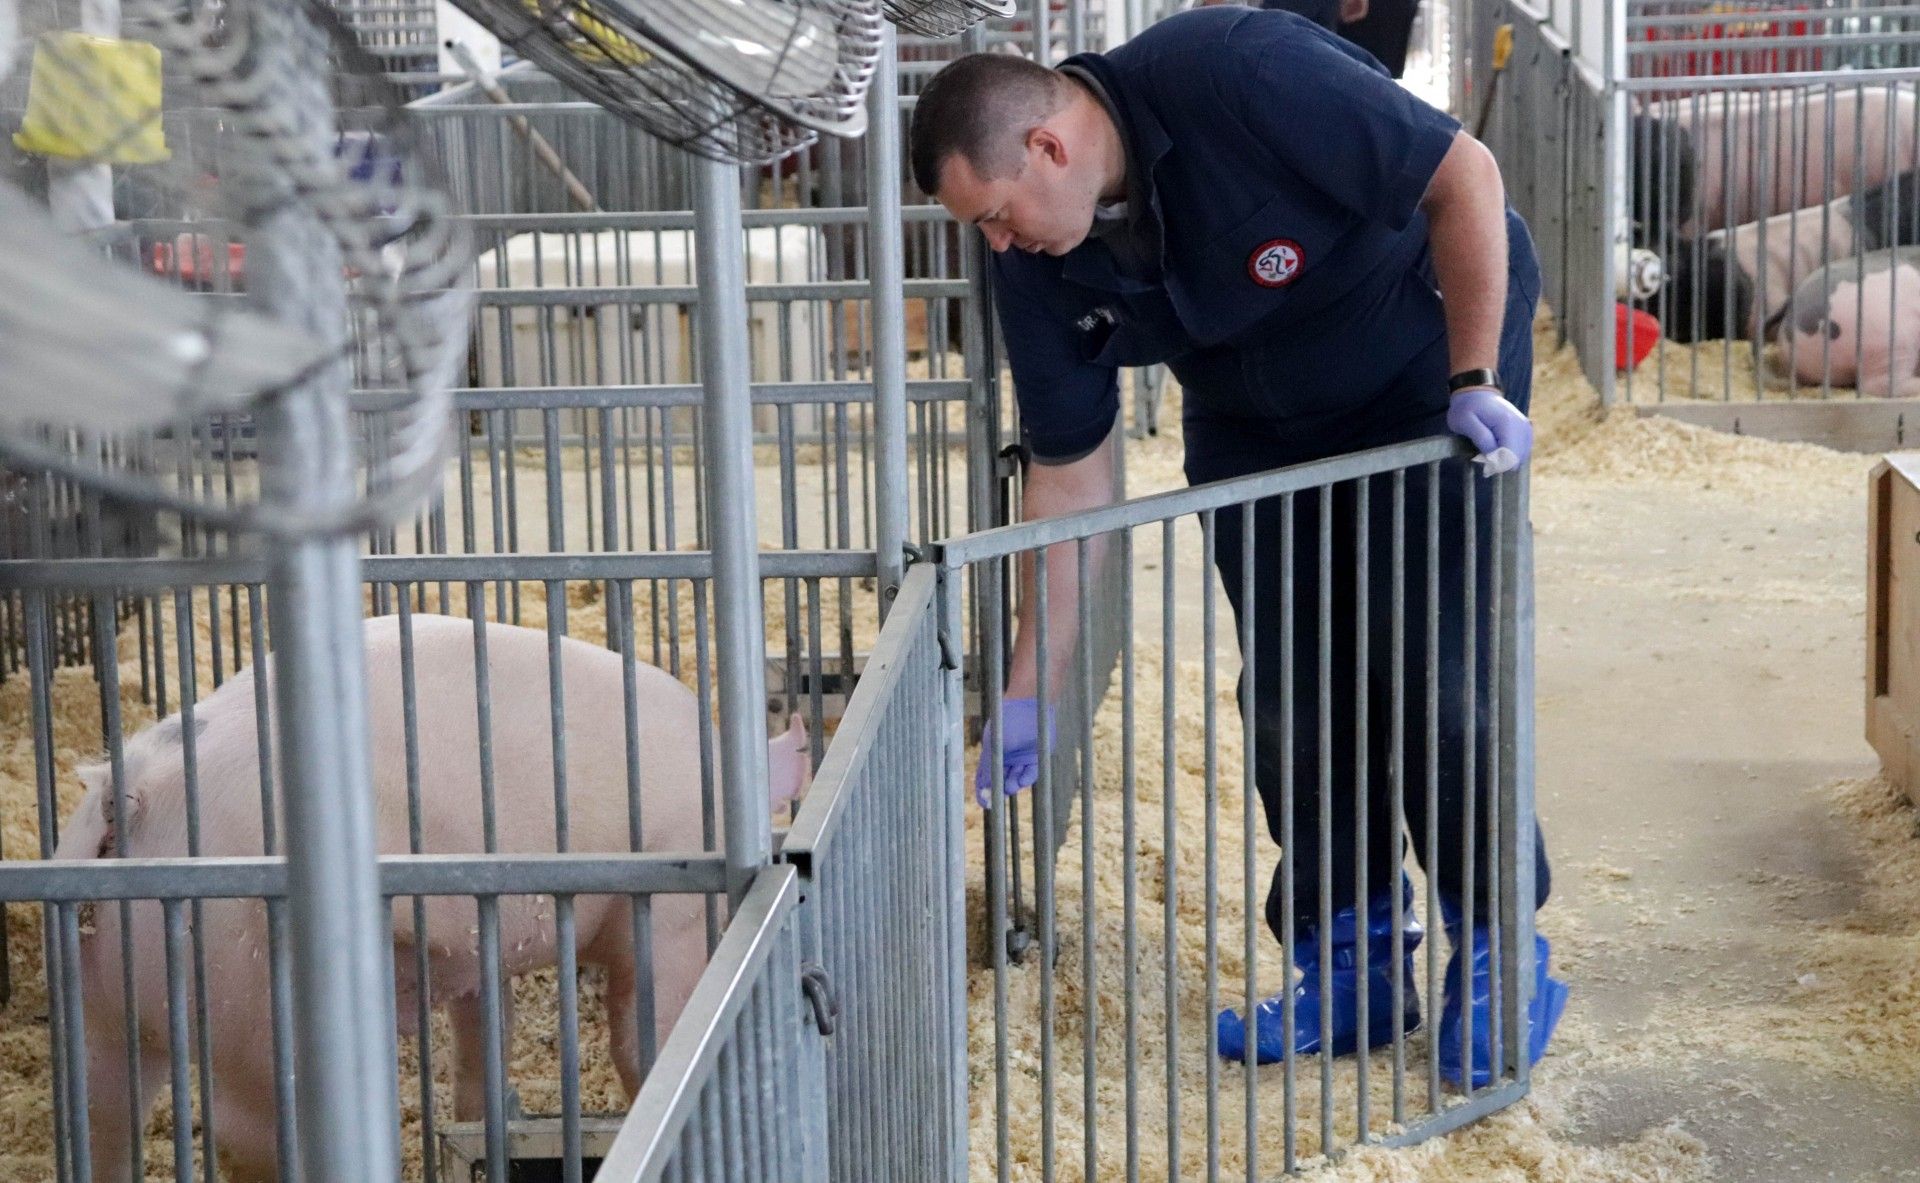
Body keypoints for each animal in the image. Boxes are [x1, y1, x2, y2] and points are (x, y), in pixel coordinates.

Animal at [58, 614, 810, 1183]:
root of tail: (134, 792)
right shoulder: (672, 911)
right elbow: (646, 1032)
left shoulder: (481, 950)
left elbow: (483, 1055)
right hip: (246, 991)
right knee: (258, 1138)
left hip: (103, 1003)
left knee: (106, 1120)